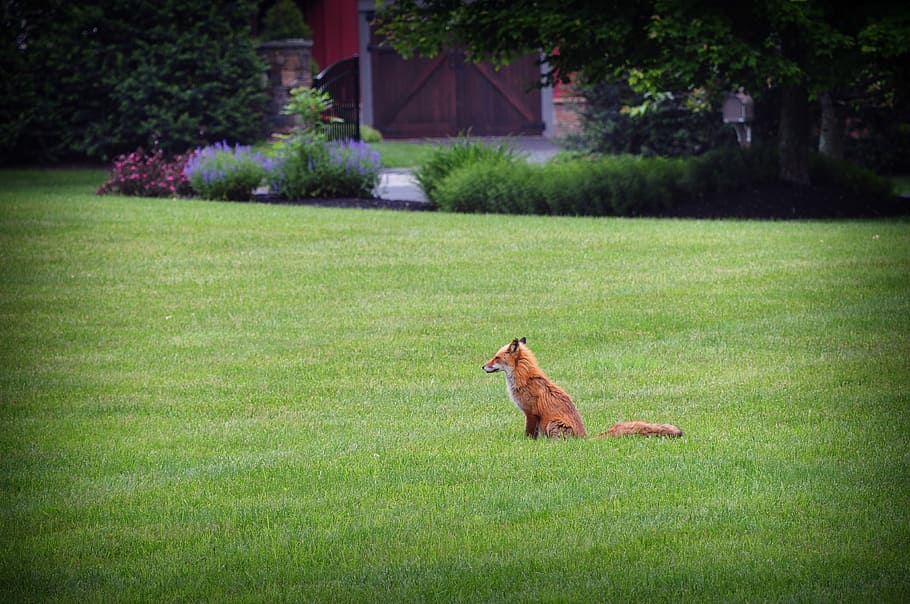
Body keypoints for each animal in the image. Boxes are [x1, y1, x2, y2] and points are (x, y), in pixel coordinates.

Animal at [482, 337, 683, 439]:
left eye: (496, 358)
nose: (483, 367)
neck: (525, 378)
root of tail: (584, 439)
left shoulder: (531, 413)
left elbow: (529, 434)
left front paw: (527, 444)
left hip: (552, 423)